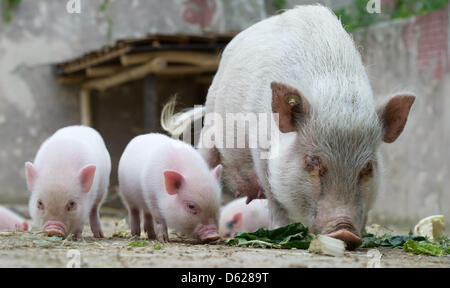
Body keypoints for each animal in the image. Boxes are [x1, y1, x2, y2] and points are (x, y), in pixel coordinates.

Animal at [162, 6, 414, 250]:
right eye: (312, 161)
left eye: (368, 167)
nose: (344, 231)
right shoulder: (262, 152)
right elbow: (275, 198)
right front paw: (281, 233)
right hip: (210, 130)